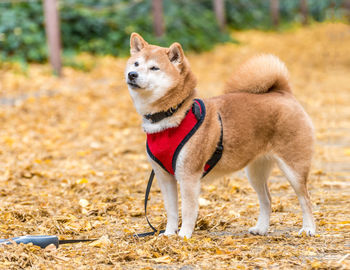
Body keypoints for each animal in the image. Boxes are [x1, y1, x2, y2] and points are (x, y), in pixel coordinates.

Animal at [124, 32, 316, 238]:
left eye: (154, 68)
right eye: (136, 64)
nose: (132, 74)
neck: (171, 115)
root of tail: (283, 93)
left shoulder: (188, 176)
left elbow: (188, 210)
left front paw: (183, 235)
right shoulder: (164, 177)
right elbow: (172, 210)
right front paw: (168, 234)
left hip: (294, 168)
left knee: (305, 198)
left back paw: (308, 229)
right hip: (255, 171)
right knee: (267, 199)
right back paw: (261, 228)